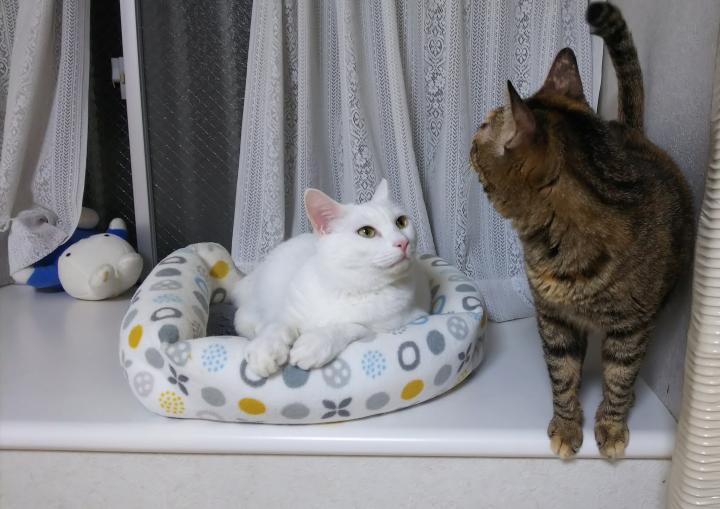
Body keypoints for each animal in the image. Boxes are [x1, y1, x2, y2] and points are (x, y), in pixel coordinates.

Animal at [232, 179, 430, 377]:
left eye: (401, 222)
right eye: (366, 232)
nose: (403, 242)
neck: (345, 288)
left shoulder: (398, 323)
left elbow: (349, 326)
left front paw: (314, 343)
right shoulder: (287, 311)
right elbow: (277, 325)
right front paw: (265, 349)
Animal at [469, 2, 694, 459]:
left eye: (484, 128)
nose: (469, 135)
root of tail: (633, 132)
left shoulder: (631, 326)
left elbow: (620, 377)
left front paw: (610, 426)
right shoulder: (554, 319)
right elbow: (563, 374)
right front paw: (567, 425)